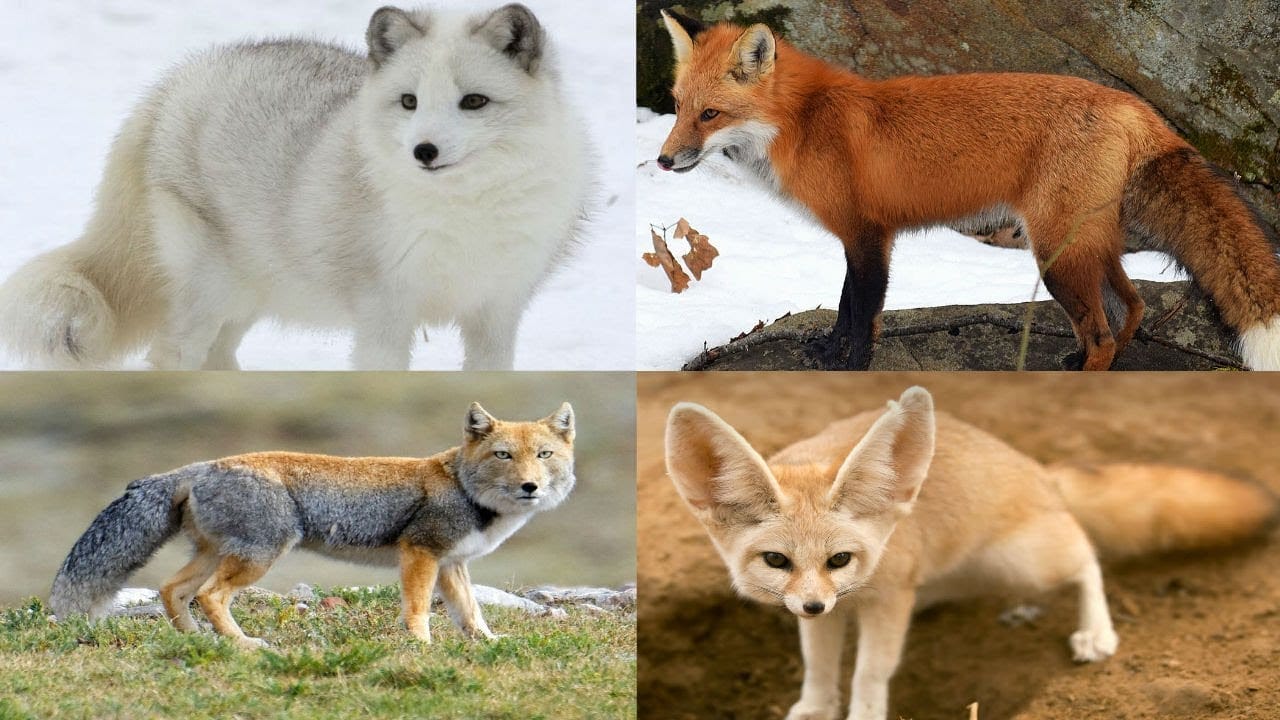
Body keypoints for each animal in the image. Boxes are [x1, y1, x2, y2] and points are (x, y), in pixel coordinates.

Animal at [0, 3, 590, 370]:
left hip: (252, 291)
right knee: (174, 355)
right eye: (409, 101)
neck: (465, 212)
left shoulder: (497, 311)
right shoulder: (384, 314)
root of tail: (177, 79)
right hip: (211, 287)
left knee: (218, 358)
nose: (423, 151)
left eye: (474, 102)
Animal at [49, 402, 575, 649]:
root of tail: (200, 466)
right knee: (209, 596)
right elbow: (418, 609)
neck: (465, 488)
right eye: (503, 455)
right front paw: (421, 646)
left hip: (217, 554)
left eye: (544, 455)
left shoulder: (451, 564)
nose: (530, 486)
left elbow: (471, 614)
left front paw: (488, 644)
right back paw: (245, 646)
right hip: (260, 555)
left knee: (172, 590)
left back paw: (200, 641)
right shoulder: (420, 553)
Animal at [655, 11, 1280, 371]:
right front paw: (826, 353)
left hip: (1055, 254)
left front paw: (850, 368)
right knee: (1132, 307)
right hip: (1088, 243)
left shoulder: (869, 237)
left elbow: (862, 317)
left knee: (1104, 332)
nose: (662, 160)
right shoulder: (858, 237)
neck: (804, 123)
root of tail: (1133, 104)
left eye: (710, 115)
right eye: (679, 106)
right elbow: (844, 306)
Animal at [664, 387, 1278, 720]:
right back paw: (1025, 609)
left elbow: (869, 672)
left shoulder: (887, 600)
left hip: (1027, 559)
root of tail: (1039, 471)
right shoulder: (828, 612)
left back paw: (1094, 631)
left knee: (1086, 555)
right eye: (776, 561)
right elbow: (818, 665)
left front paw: (864, 711)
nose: (814, 605)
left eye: (840, 560)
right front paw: (814, 709)